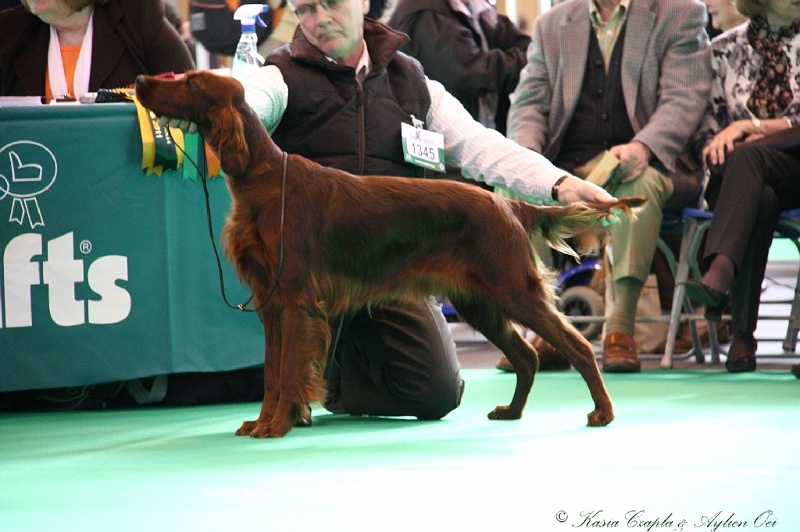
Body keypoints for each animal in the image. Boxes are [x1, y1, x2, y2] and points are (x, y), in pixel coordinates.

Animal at [134, 72, 640, 438]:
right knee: (527, 355)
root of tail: (509, 205)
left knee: (575, 346)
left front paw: (276, 426)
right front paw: (263, 421)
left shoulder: (294, 300)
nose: (139, 81)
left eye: (191, 83)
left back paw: (603, 413)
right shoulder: (269, 304)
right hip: (480, 300)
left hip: (512, 289)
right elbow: (273, 374)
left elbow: (288, 371)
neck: (263, 180)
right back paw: (512, 412)